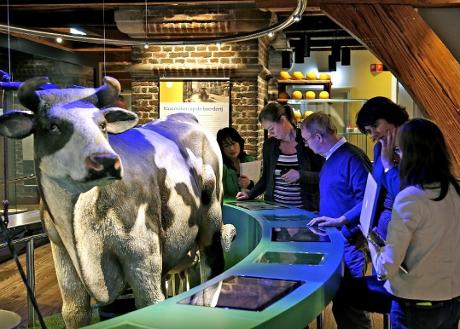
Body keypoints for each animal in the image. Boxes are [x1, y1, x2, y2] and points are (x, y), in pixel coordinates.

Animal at [0, 76, 232, 326]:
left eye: (102, 124)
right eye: (53, 126)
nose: (106, 160)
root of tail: (185, 116)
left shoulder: (142, 255)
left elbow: (151, 305)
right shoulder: (61, 252)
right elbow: (74, 311)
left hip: (211, 223)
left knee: (211, 274)